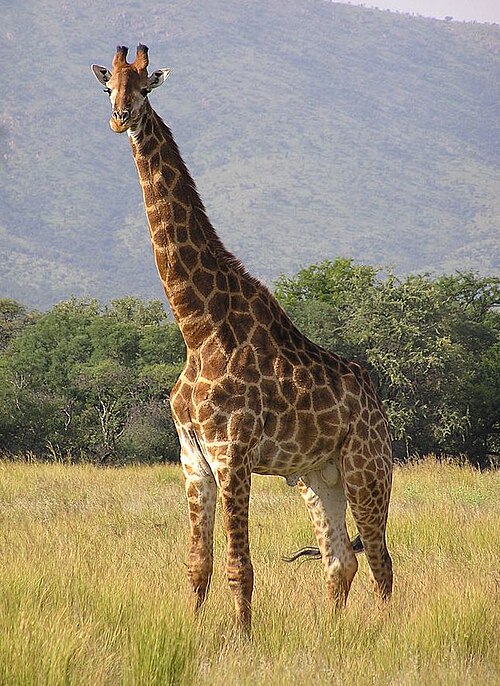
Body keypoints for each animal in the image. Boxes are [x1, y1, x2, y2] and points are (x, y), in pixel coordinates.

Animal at [91, 45, 393, 632]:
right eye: (108, 87)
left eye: (144, 87)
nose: (119, 119)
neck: (197, 328)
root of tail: (378, 406)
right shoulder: (193, 458)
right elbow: (197, 565)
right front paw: (192, 633)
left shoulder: (232, 451)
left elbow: (239, 567)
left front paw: (242, 640)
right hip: (317, 476)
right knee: (340, 560)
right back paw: (332, 634)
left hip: (368, 468)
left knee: (381, 560)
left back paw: (386, 633)